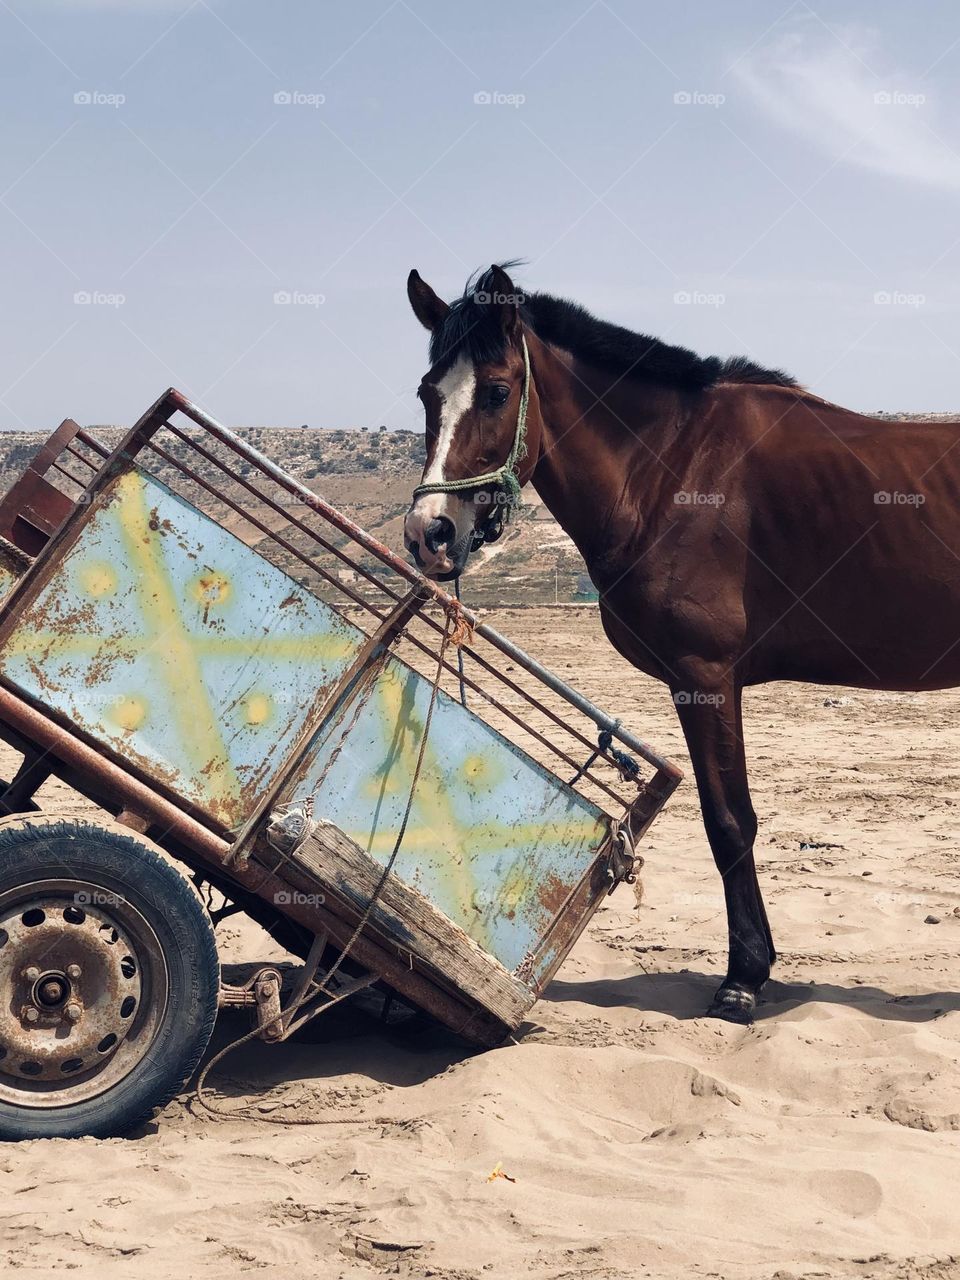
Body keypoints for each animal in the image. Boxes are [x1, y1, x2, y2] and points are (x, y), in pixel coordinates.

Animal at [401, 259, 960, 1018]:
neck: (674, 468)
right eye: (427, 393)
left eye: (495, 391)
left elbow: (730, 823)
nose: (430, 533)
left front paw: (743, 978)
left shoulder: (705, 675)